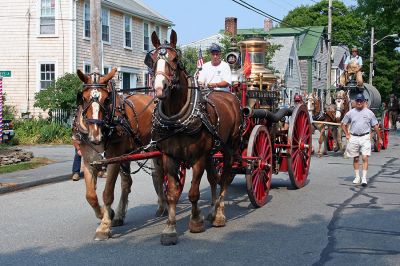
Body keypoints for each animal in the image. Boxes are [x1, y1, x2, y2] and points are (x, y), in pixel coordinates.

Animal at [73, 68, 156, 241]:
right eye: (83, 98)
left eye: (106, 100)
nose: (95, 136)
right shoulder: (89, 162)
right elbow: (91, 196)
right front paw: (106, 213)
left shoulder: (113, 161)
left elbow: (107, 193)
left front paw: (104, 226)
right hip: (126, 156)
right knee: (126, 184)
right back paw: (118, 215)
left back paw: (163, 205)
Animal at [149, 29, 241, 245]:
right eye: (153, 59)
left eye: (175, 59)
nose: (160, 88)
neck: (178, 119)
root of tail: (231, 97)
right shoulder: (170, 157)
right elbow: (172, 193)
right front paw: (170, 228)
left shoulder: (198, 157)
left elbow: (193, 192)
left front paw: (196, 221)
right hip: (212, 152)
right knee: (214, 178)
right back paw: (213, 211)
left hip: (229, 148)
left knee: (225, 178)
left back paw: (219, 214)